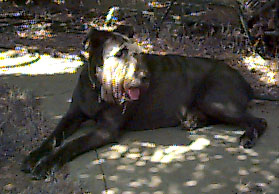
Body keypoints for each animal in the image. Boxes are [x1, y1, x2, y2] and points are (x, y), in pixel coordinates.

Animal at [22, 25, 276, 179]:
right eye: (119, 53)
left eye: (137, 52)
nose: (145, 77)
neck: (99, 90)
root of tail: (247, 83)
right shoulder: (73, 114)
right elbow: (54, 136)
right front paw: (34, 156)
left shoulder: (106, 130)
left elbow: (72, 144)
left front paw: (46, 164)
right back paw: (192, 121)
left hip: (214, 99)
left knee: (259, 121)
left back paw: (246, 136)